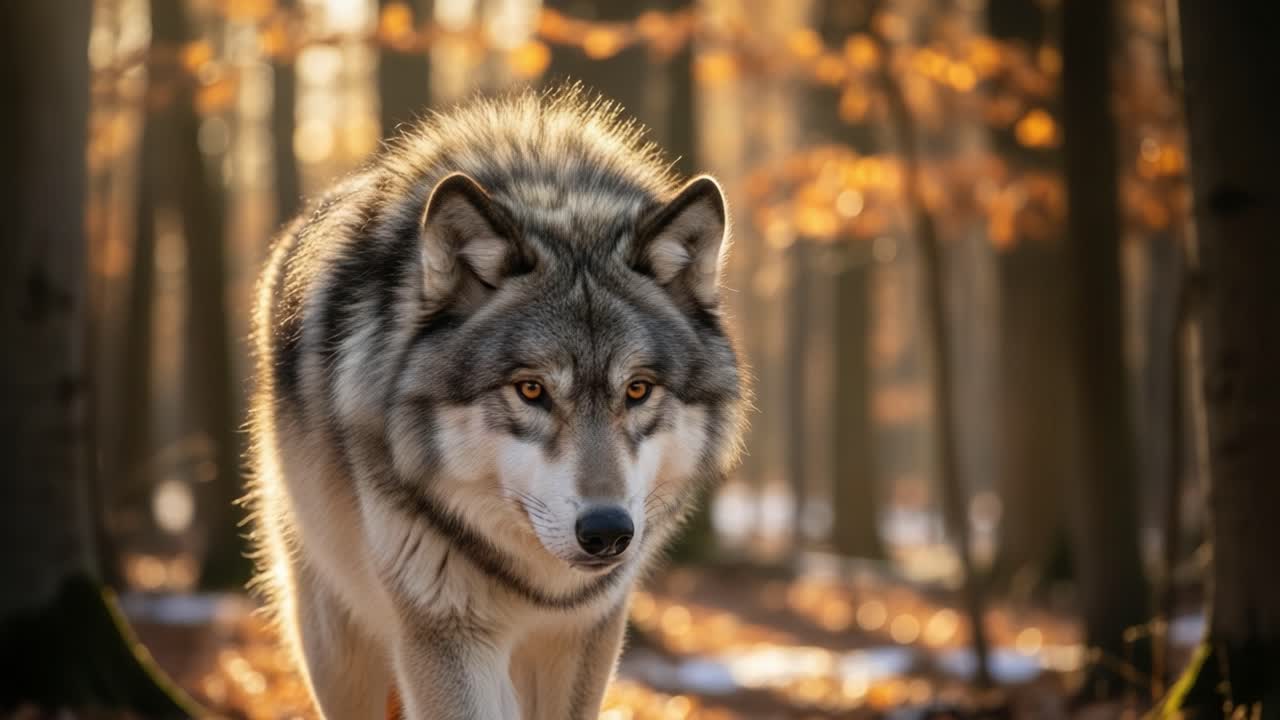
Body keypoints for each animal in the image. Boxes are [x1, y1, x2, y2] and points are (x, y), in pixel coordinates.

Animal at [246, 88, 746, 719]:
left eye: (637, 389)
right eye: (531, 389)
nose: (607, 531)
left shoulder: (585, 633)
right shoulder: (445, 635)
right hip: (337, 638)